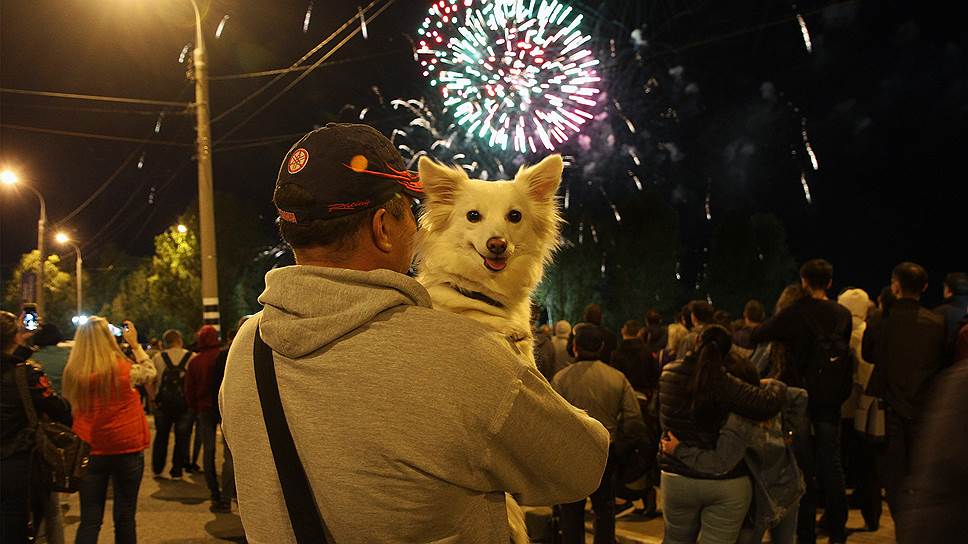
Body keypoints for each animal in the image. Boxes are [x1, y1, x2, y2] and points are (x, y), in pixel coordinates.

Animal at [418, 154, 568, 544]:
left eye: (515, 216)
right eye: (473, 216)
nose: (498, 243)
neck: (486, 293)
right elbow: (467, 313)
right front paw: (504, 327)